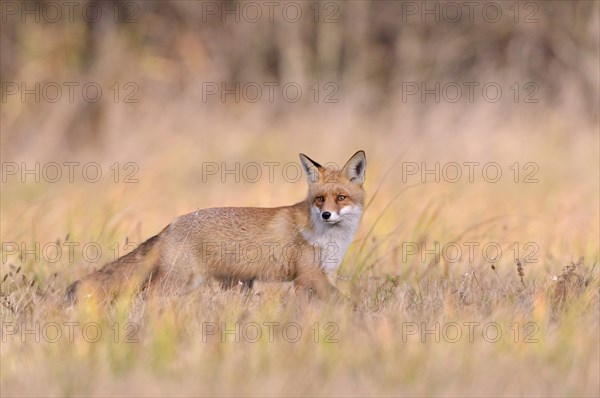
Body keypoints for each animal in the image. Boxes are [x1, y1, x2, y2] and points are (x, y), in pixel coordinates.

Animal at [67, 151, 366, 304]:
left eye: (341, 197)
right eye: (319, 199)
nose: (326, 214)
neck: (331, 239)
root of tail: (170, 225)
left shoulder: (314, 278)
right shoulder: (309, 275)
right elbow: (344, 301)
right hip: (180, 281)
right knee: (147, 296)